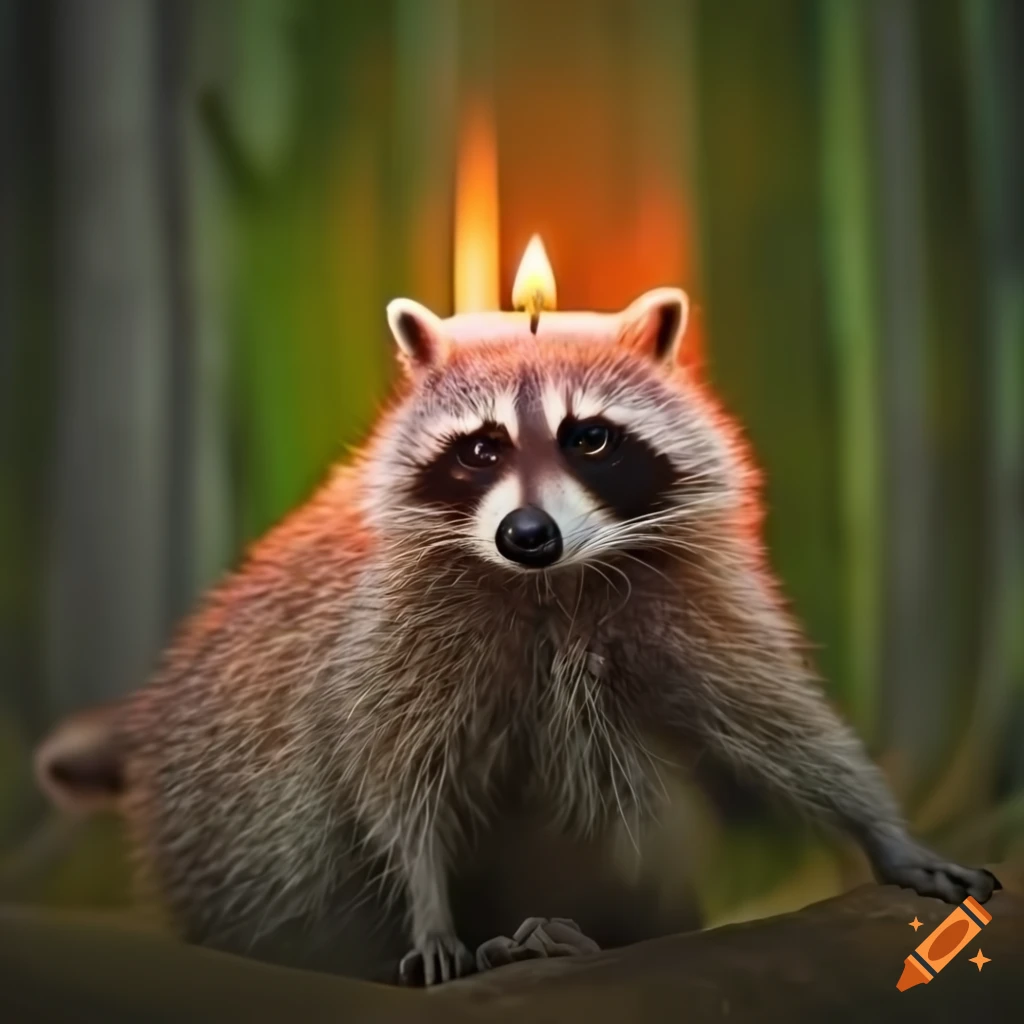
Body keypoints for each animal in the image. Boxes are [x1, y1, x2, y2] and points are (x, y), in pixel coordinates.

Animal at [35, 288, 999, 985]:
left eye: (590, 438)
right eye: (480, 448)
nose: (526, 535)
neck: (551, 586)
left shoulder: (693, 602)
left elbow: (780, 721)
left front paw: (883, 828)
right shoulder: (391, 633)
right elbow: (392, 774)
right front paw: (427, 899)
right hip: (234, 831)